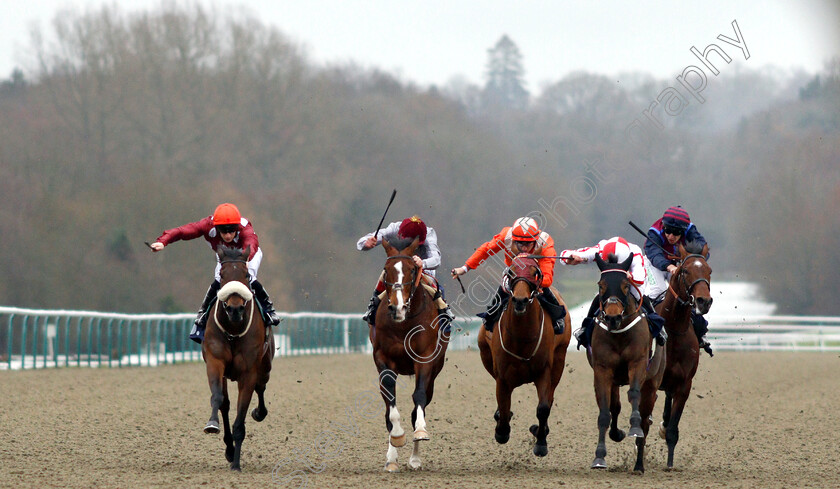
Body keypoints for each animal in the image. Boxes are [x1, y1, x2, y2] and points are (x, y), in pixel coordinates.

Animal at [199, 246, 272, 470]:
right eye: (222, 275)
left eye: (246, 275)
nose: (234, 309)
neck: (232, 330)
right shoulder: (215, 362)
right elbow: (218, 398)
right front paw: (212, 425)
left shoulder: (248, 373)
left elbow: (240, 420)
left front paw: (237, 465)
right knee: (226, 404)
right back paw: (229, 449)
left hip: (265, 366)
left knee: (261, 387)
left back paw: (259, 413)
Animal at [372, 238, 450, 470]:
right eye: (386, 269)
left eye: (413, 269)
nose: (396, 307)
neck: (403, 324)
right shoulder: (382, 358)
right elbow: (390, 396)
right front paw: (397, 437)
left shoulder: (424, 359)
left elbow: (419, 397)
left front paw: (421, 431)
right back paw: (391, 458)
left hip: (435, 369)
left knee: (419, 405)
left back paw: (415, 458)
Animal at [480, 254, 572, 456]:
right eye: (511, 272)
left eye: (535, 273)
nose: (520, 300)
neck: (521, 338)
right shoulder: (502, 376)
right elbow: (504, 406)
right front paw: (501, 431)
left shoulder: (544, 371)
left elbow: (543, 407)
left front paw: (541, 442)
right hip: (485, 353)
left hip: (559, 360)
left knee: (550, 397)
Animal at [588, 254, 668, 470]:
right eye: (601, 285)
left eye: (625, 285)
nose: (613, 316)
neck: (618, 334)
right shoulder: (603, 371)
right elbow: (605, 412)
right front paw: (599, 456)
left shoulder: (637, 363)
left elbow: (634, 394)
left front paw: (633, 426)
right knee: (615, 407)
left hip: (652, 382)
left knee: (645, 419)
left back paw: (639, 464)